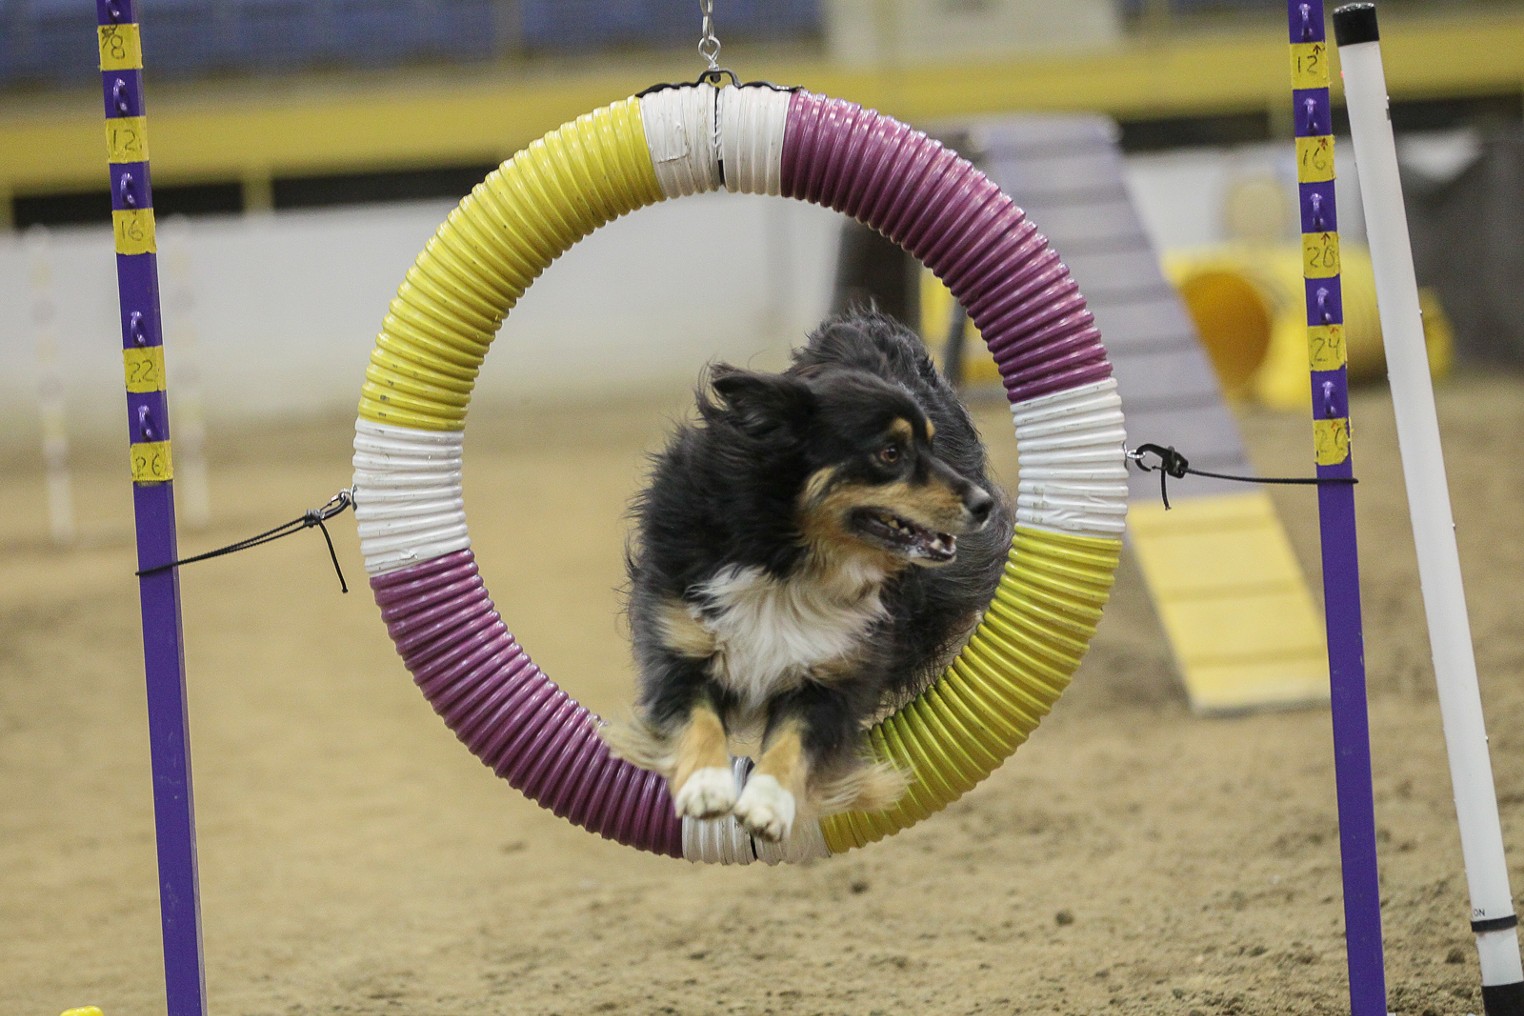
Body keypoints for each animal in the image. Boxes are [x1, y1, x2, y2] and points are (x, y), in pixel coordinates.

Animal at [594, 310, 1011, 840]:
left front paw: (767, 803)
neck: (789, 560)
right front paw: (707, 785)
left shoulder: (836, 674)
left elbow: (796, 740)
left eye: (932, 446)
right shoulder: (679, 643)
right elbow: (698, 718)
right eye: (890, 453)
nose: (984, 503)